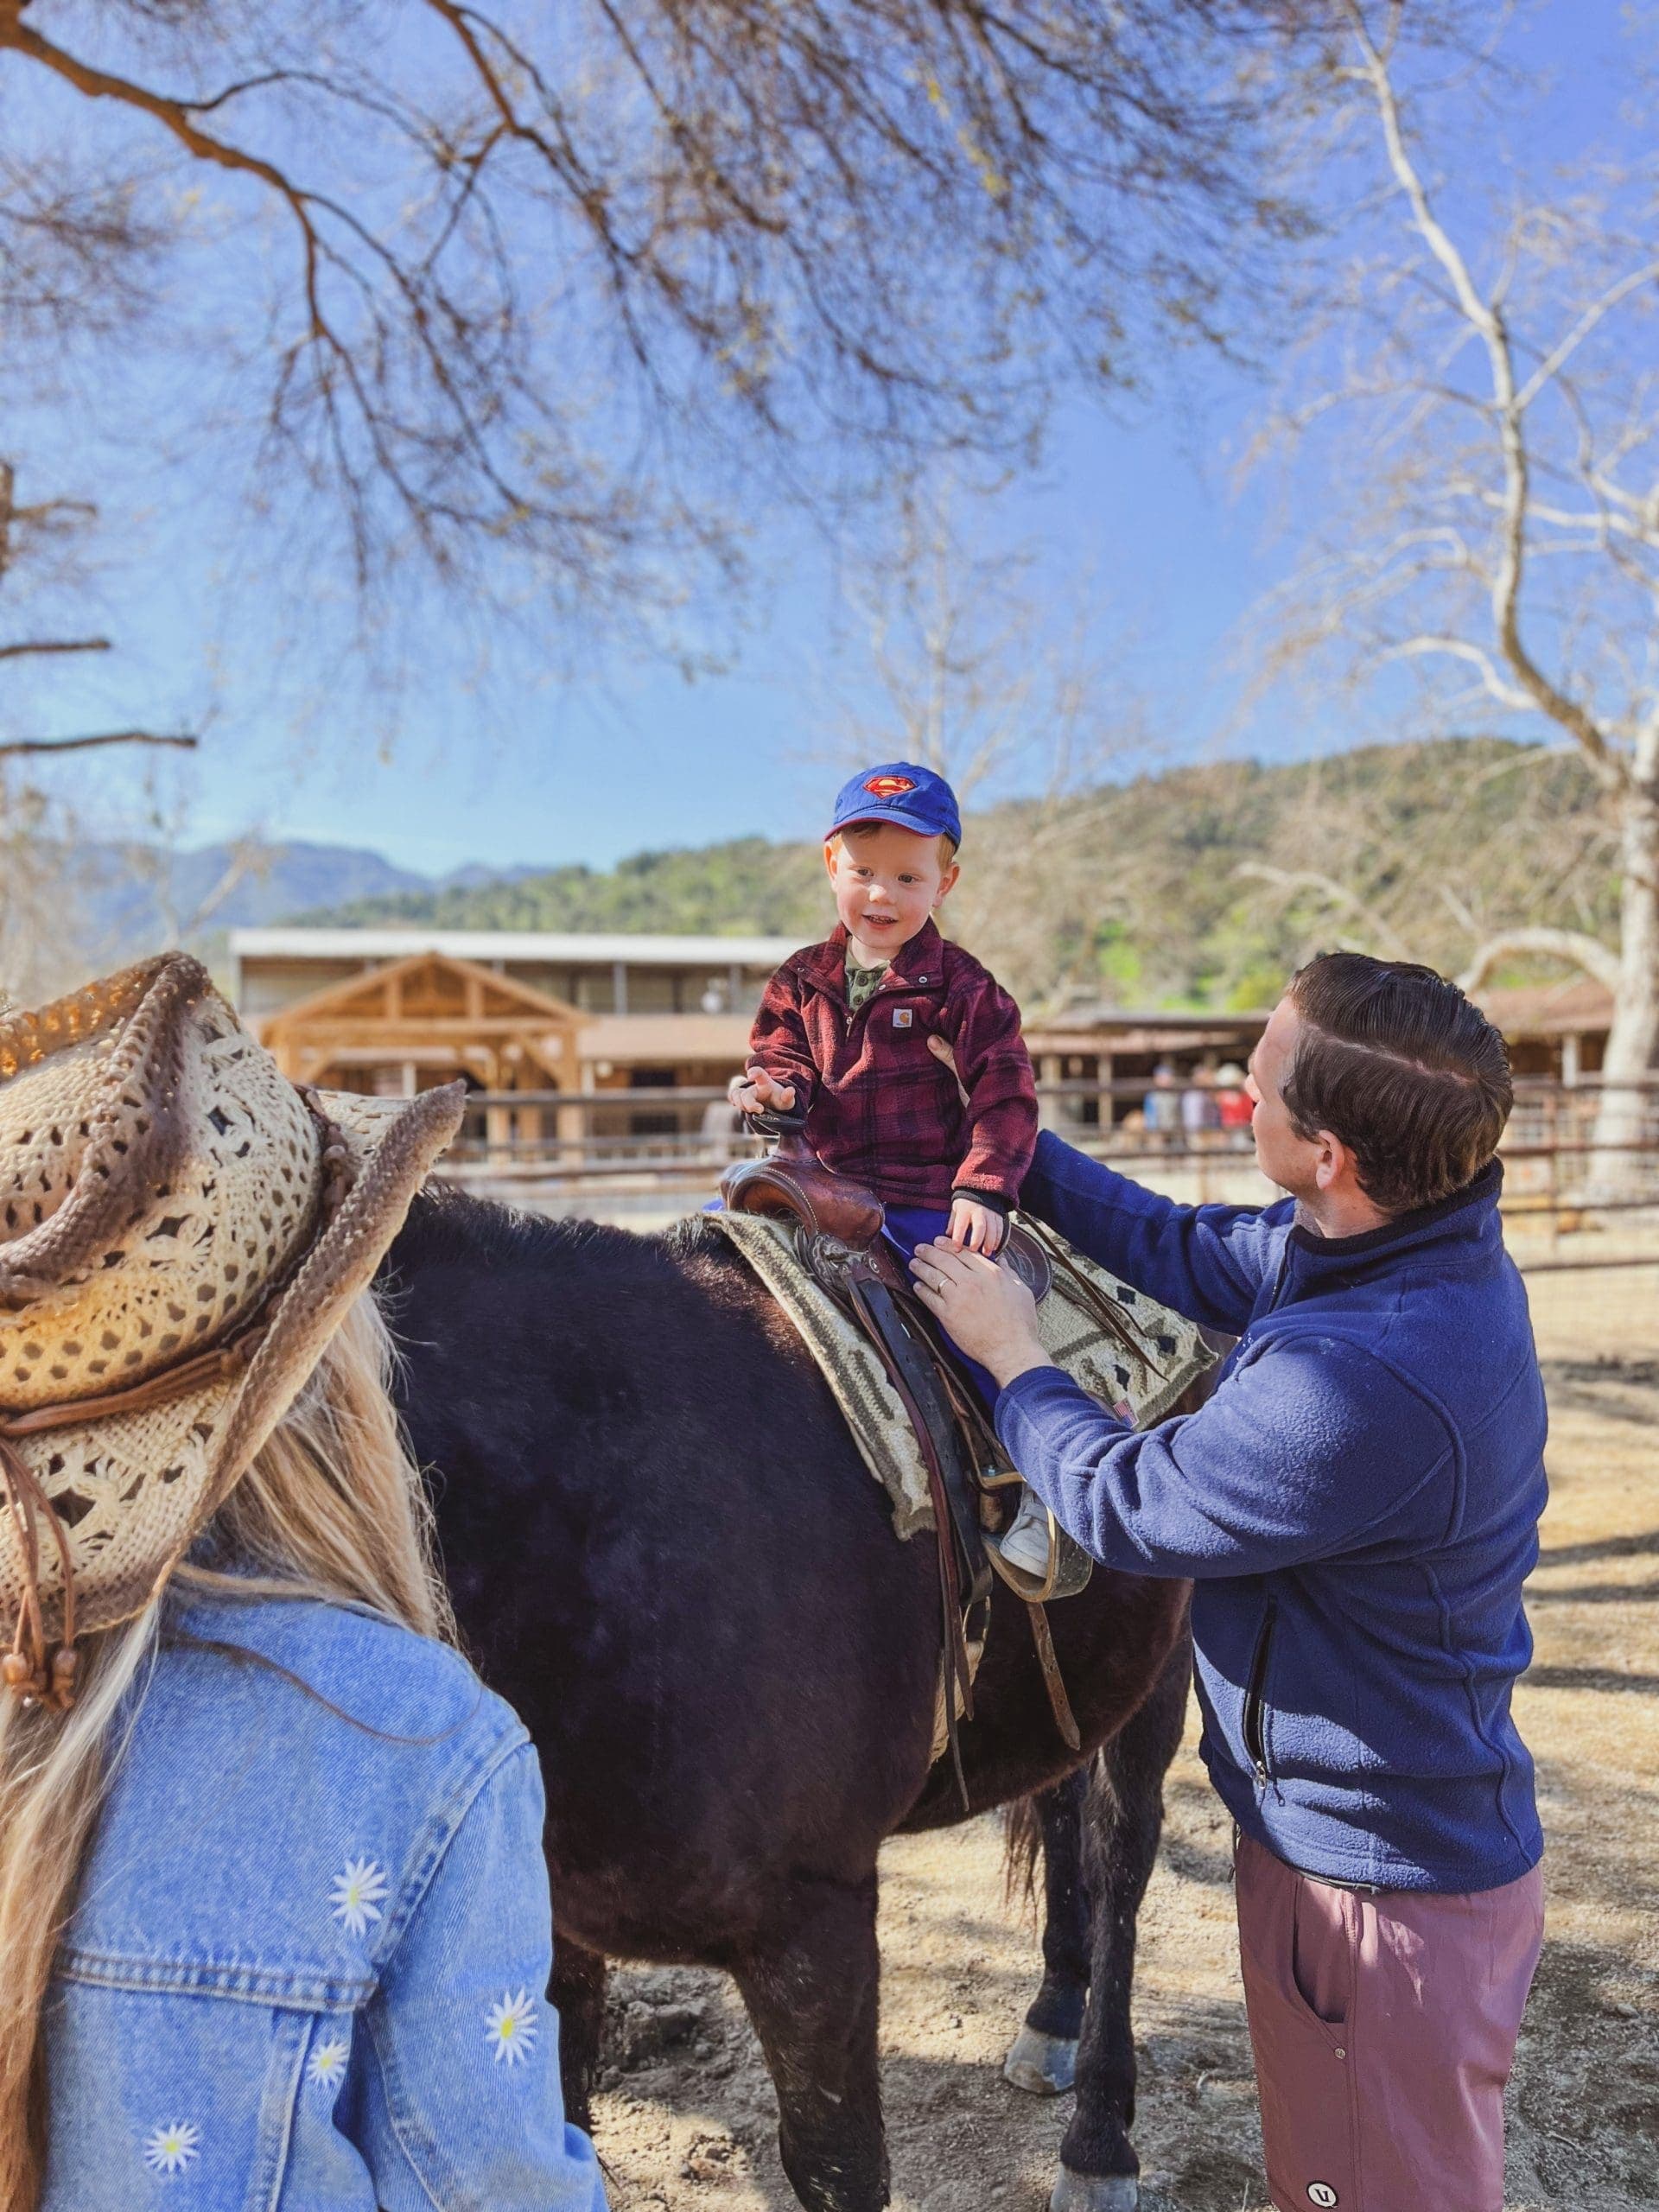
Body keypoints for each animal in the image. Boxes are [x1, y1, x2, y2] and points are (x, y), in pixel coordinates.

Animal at [385, 1194, 1194, 2212]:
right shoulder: (549, 1928)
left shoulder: (812, 1919)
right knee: (1057, 1805)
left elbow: (839, 2166)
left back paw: (1098, 2140)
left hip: (1162, 1663)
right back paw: (1052, 2010)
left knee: (1120, 1849)